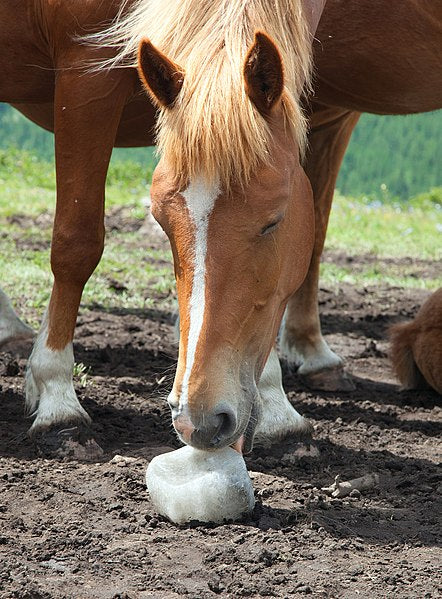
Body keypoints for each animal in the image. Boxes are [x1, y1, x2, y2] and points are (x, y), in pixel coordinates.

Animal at [0, 0, 440, 454]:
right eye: (160, 220)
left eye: (273, 221)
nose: (199, 419)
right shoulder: (84, 66)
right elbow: (77, 242)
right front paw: (57, 397)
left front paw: (278, 401)